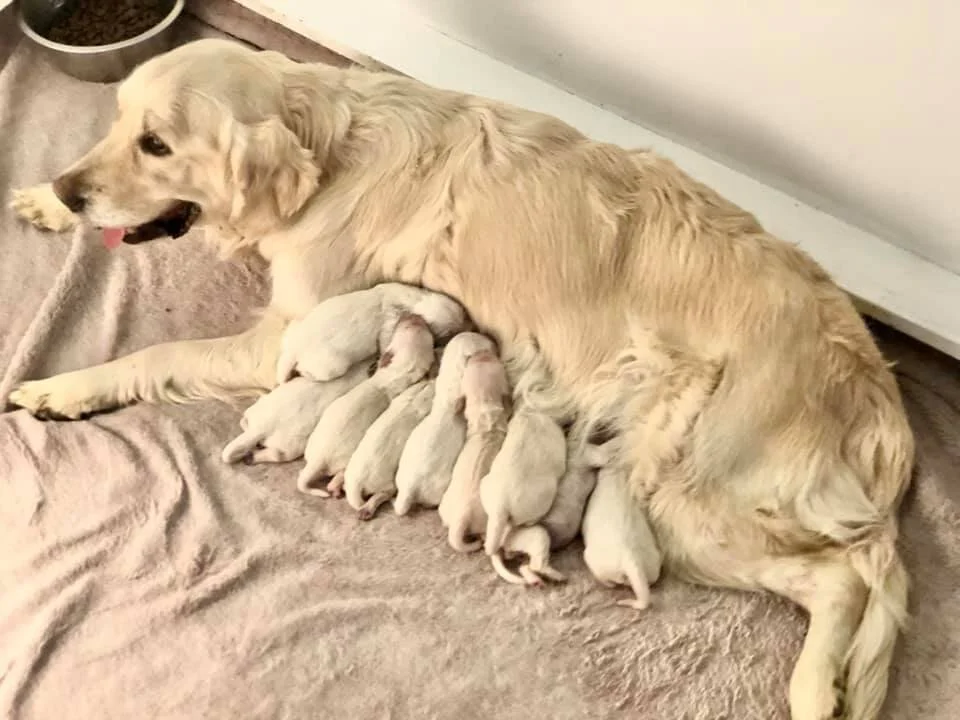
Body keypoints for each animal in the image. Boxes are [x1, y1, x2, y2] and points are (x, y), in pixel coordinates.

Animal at [8, 38, 914, 720]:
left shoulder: (290, 332)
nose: (73, 190)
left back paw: (814, 692)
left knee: (842, 579)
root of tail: (872, 381)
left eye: (158, 146)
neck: (330, 149)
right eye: (119, 122)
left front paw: (64, 387)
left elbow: (157, 355)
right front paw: (45, 200)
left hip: (686, 494)